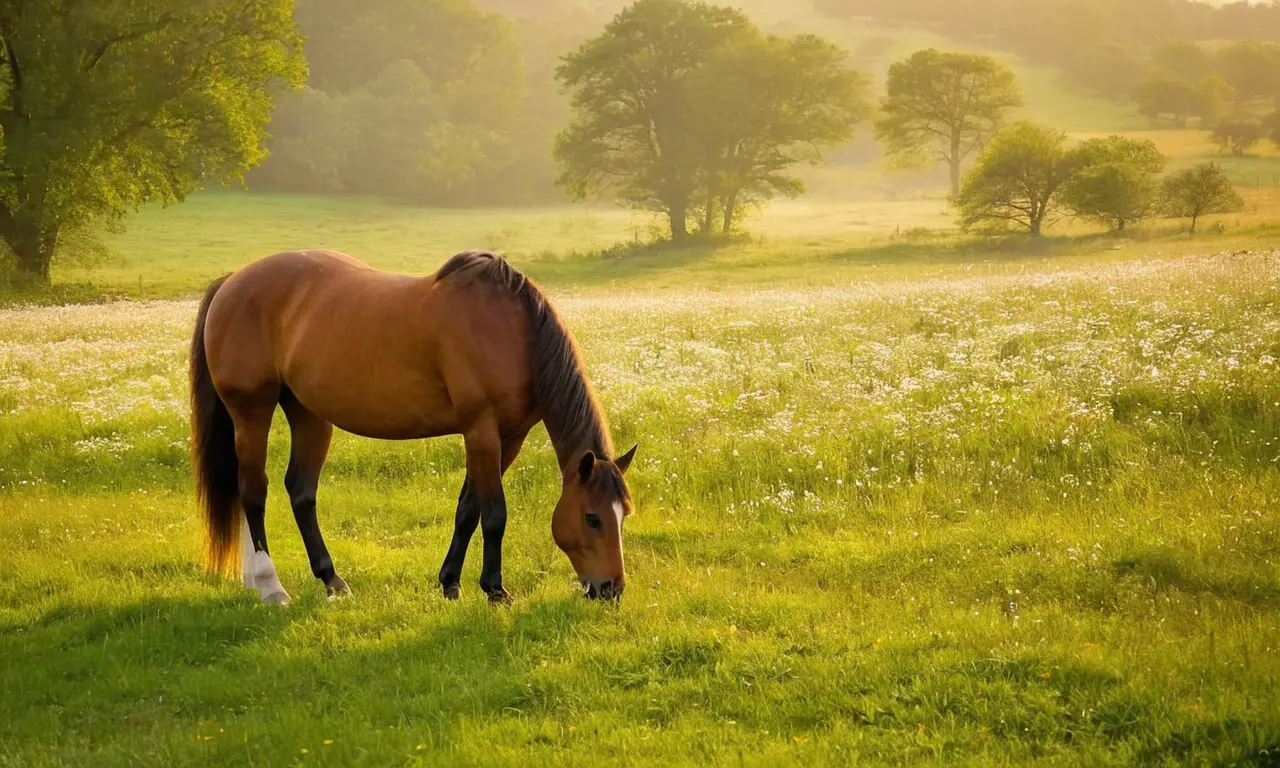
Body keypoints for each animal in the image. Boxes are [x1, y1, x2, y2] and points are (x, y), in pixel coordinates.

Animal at [189, 249, 637, 605]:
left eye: (624, 515)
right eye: (592, 518)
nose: (611, 589)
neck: (513, 333)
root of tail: (232, 281)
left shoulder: (509, 438)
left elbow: (468, 509)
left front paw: (450, 583)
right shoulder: (482, 430)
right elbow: (494, 514)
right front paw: (494, 590)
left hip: (307, 413)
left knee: (299, 491)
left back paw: (328, 580)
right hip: (251, 411)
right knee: (253, 492)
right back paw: (269, 585)